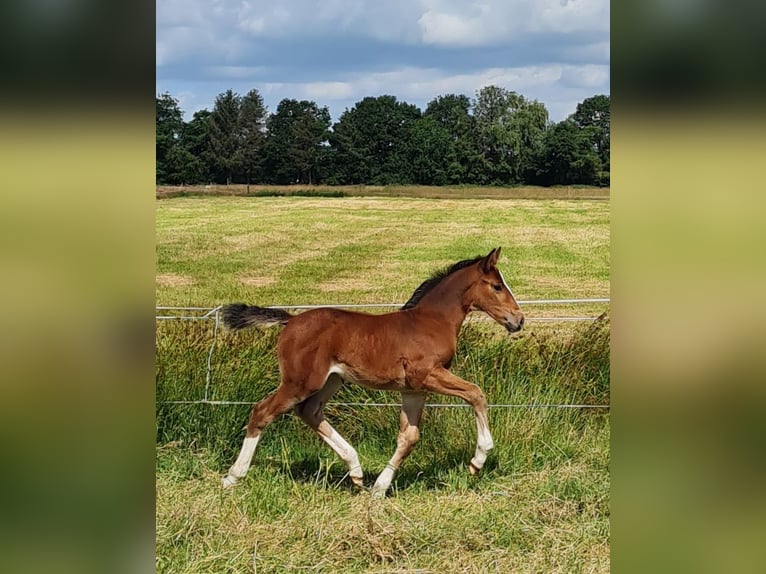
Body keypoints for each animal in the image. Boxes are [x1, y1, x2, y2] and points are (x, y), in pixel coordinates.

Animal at [219, 248, 524, 500]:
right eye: (497, 286)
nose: (518, 320)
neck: (432, 321)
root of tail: (290, 320)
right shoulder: (427, 375)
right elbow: (475, 393)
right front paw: (478, 461)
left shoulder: (414, 389)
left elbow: (409, 438)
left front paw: (380, 489)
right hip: (300, 382)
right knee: (263, 411)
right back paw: (233, 476)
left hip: (331, 380)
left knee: (309, 411)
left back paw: (356, 471)